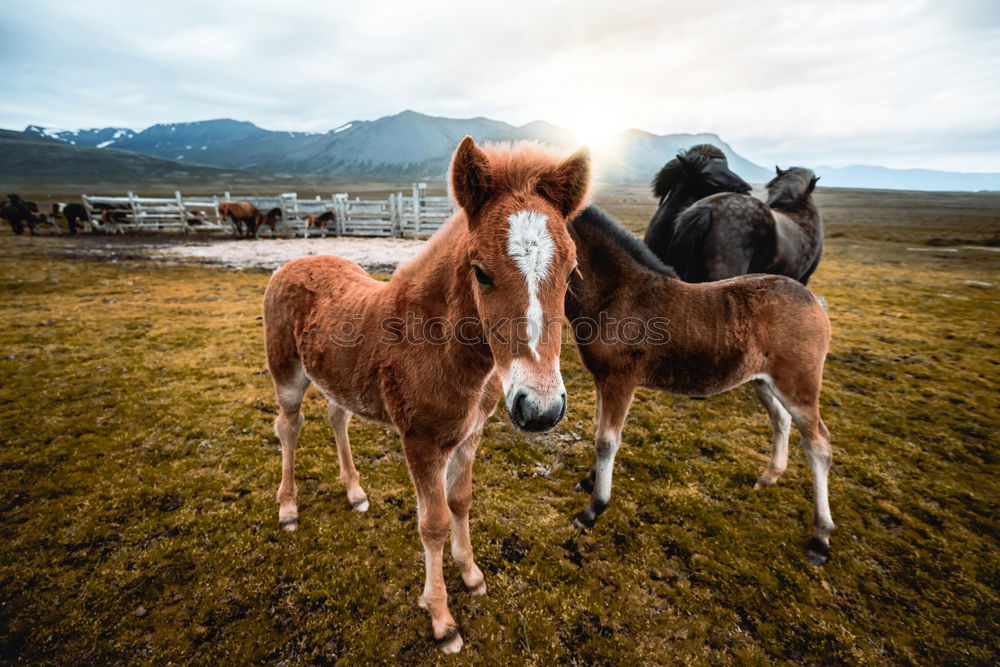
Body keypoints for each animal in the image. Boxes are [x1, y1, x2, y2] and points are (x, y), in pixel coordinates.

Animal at [262, 136, 588, 652]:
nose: (540, 409)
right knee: (288, 428)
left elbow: (461, 501)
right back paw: (289, 508)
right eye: (481, 272)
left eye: (572, 272)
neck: (439, 346)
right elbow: (431, 523)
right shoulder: (420, 442)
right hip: (287, 375)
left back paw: (355, 492)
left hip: (336, 377)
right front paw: (441, 619)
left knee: (337, 418)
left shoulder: (469, 435)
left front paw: (471, 574)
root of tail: (297, 261)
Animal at [564, 206, 836, 568]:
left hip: (799, 384)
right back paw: (769, 476)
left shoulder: (621, 380)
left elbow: (607, 441)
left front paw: (592, 510)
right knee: (781, 419)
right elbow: (597, 429)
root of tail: (814, 301)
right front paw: (588, 481)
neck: (617, 294)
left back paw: (820, 537)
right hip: (763, 381)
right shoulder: (602, 378)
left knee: (818, 444)